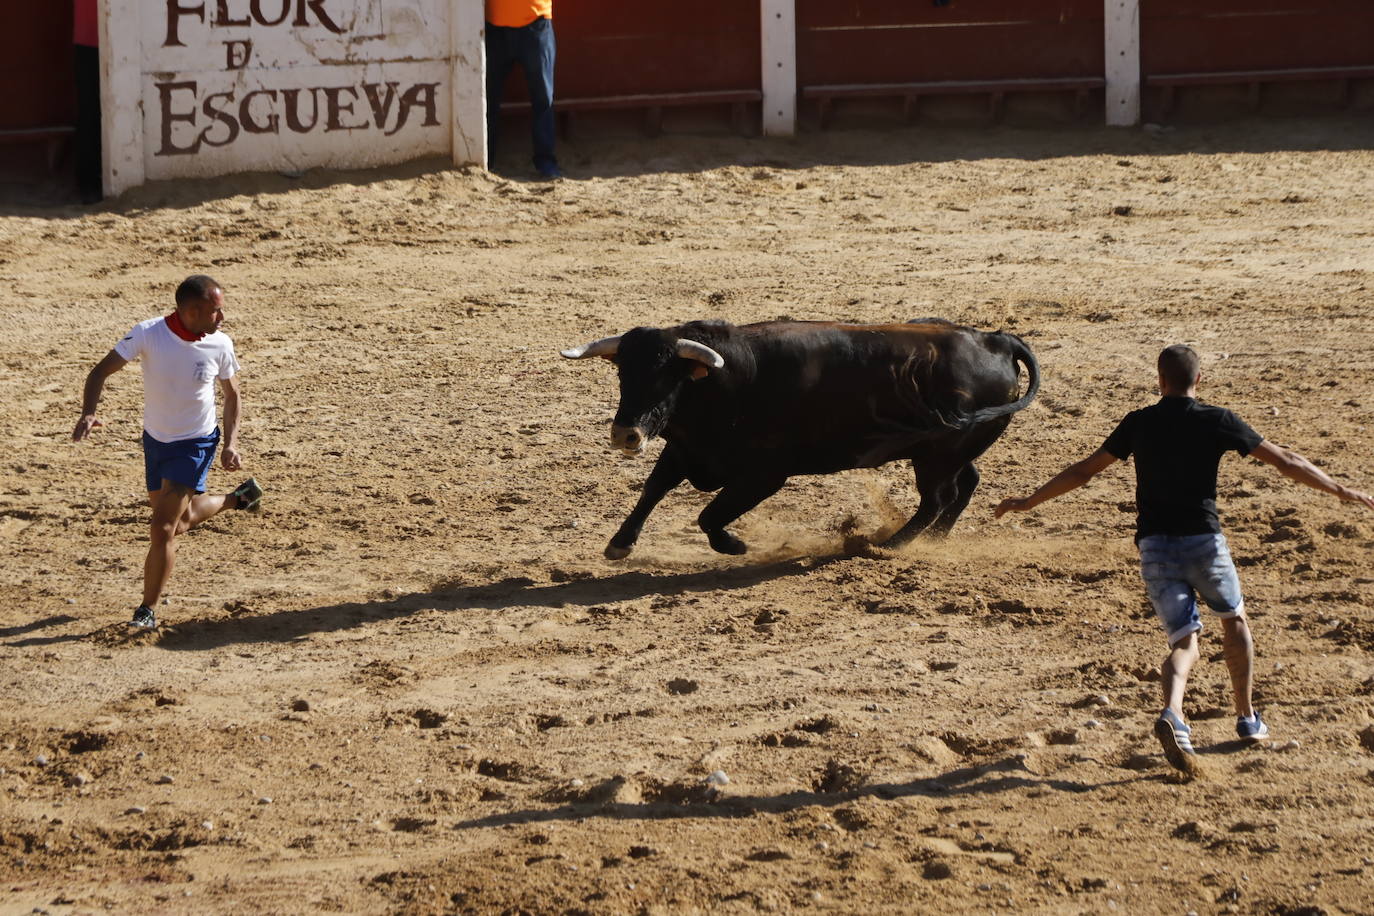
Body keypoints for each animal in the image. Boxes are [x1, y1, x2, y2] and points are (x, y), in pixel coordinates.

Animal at [560, 318, 1038, 563]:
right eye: (623, 373)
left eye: (666, 376)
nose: (626, 434)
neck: (729, 382)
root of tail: (994, 340)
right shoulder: (685, 451)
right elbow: (653, 489)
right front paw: (620, 543)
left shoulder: (764, 476)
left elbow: (709, 516)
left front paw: (733, 544)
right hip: (950, 451)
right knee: (965, 485)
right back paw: (933, 542)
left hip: (938, 458)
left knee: (938, 498)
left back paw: (886, 545)